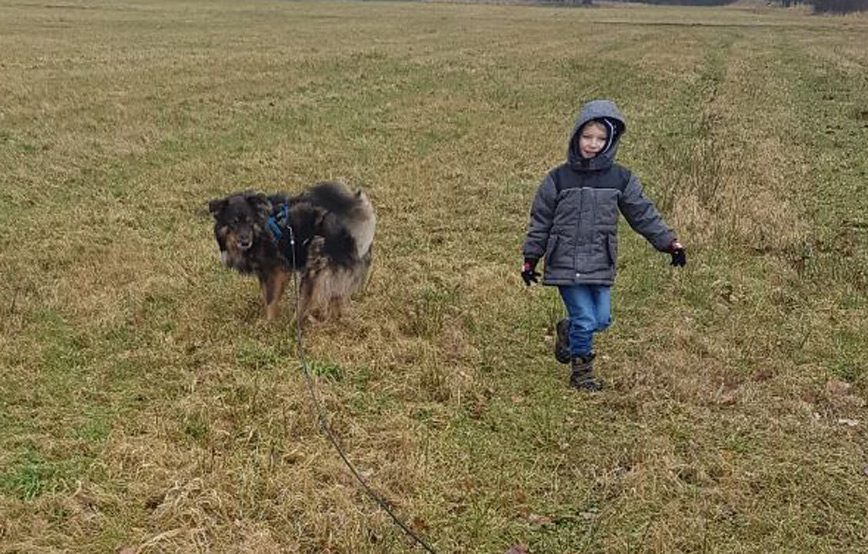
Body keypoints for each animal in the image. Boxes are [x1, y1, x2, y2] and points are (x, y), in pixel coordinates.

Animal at [209, 180, 376, 320]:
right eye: (234, 223)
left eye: (249, 222)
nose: (245, 241)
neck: (261, 230)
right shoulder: (266, 272)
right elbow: (265, 295)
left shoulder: (277, 270)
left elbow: (270, 299)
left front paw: (268, 324)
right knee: (336, 301)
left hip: (314, 268)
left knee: (306, 304)